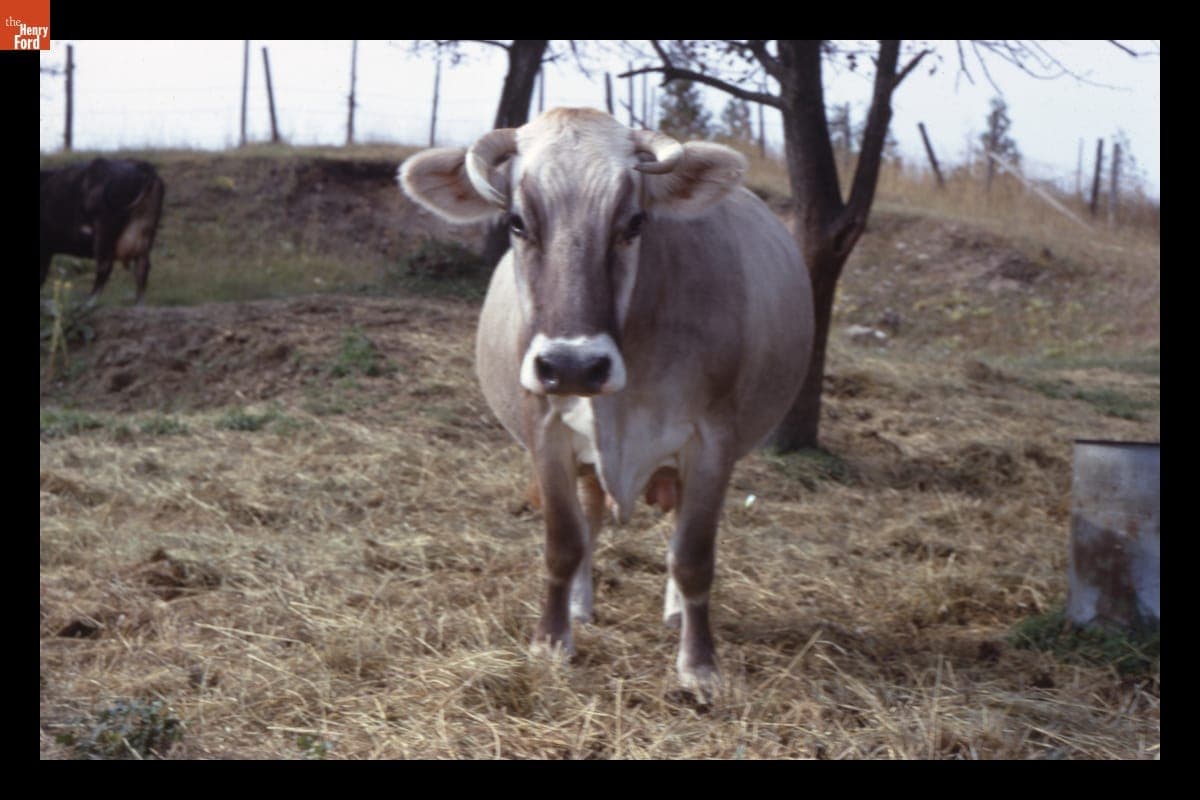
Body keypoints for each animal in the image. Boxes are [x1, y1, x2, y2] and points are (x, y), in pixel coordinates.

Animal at [40, 157, 166, 305]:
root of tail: (144, 167)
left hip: (104, 232)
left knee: (105, 265)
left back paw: (88, 303)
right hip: (144, 235)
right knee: (142, 268)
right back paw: (138, 304)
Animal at [399, 107, 814, 701]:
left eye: (635, 222)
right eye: (517, 222)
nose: (573, 364)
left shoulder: (713, 441)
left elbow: (693, 555)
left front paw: (699, 665)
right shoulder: (546, 430)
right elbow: (564, 541)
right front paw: (552, 641)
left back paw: (672, 613)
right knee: (591, 519)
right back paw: (579, 603)